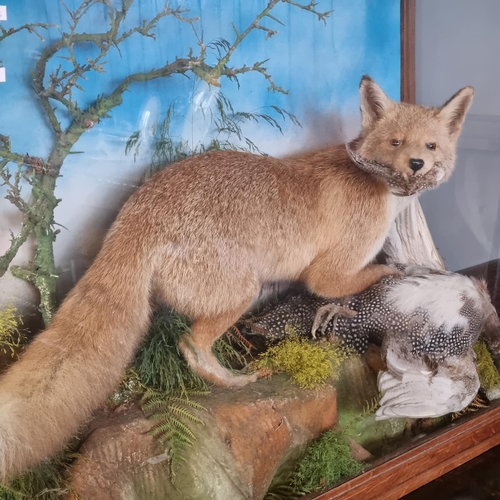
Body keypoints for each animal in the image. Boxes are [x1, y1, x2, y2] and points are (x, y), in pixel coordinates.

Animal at [0, 75, 472, 476]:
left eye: (431, 145)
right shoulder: (330, 272)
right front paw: (400, 273)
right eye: (395, 142)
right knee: (190, 343)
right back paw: (233, 380)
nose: (416, 163)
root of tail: (136, 212)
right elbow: (362, 277)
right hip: (242, 292)